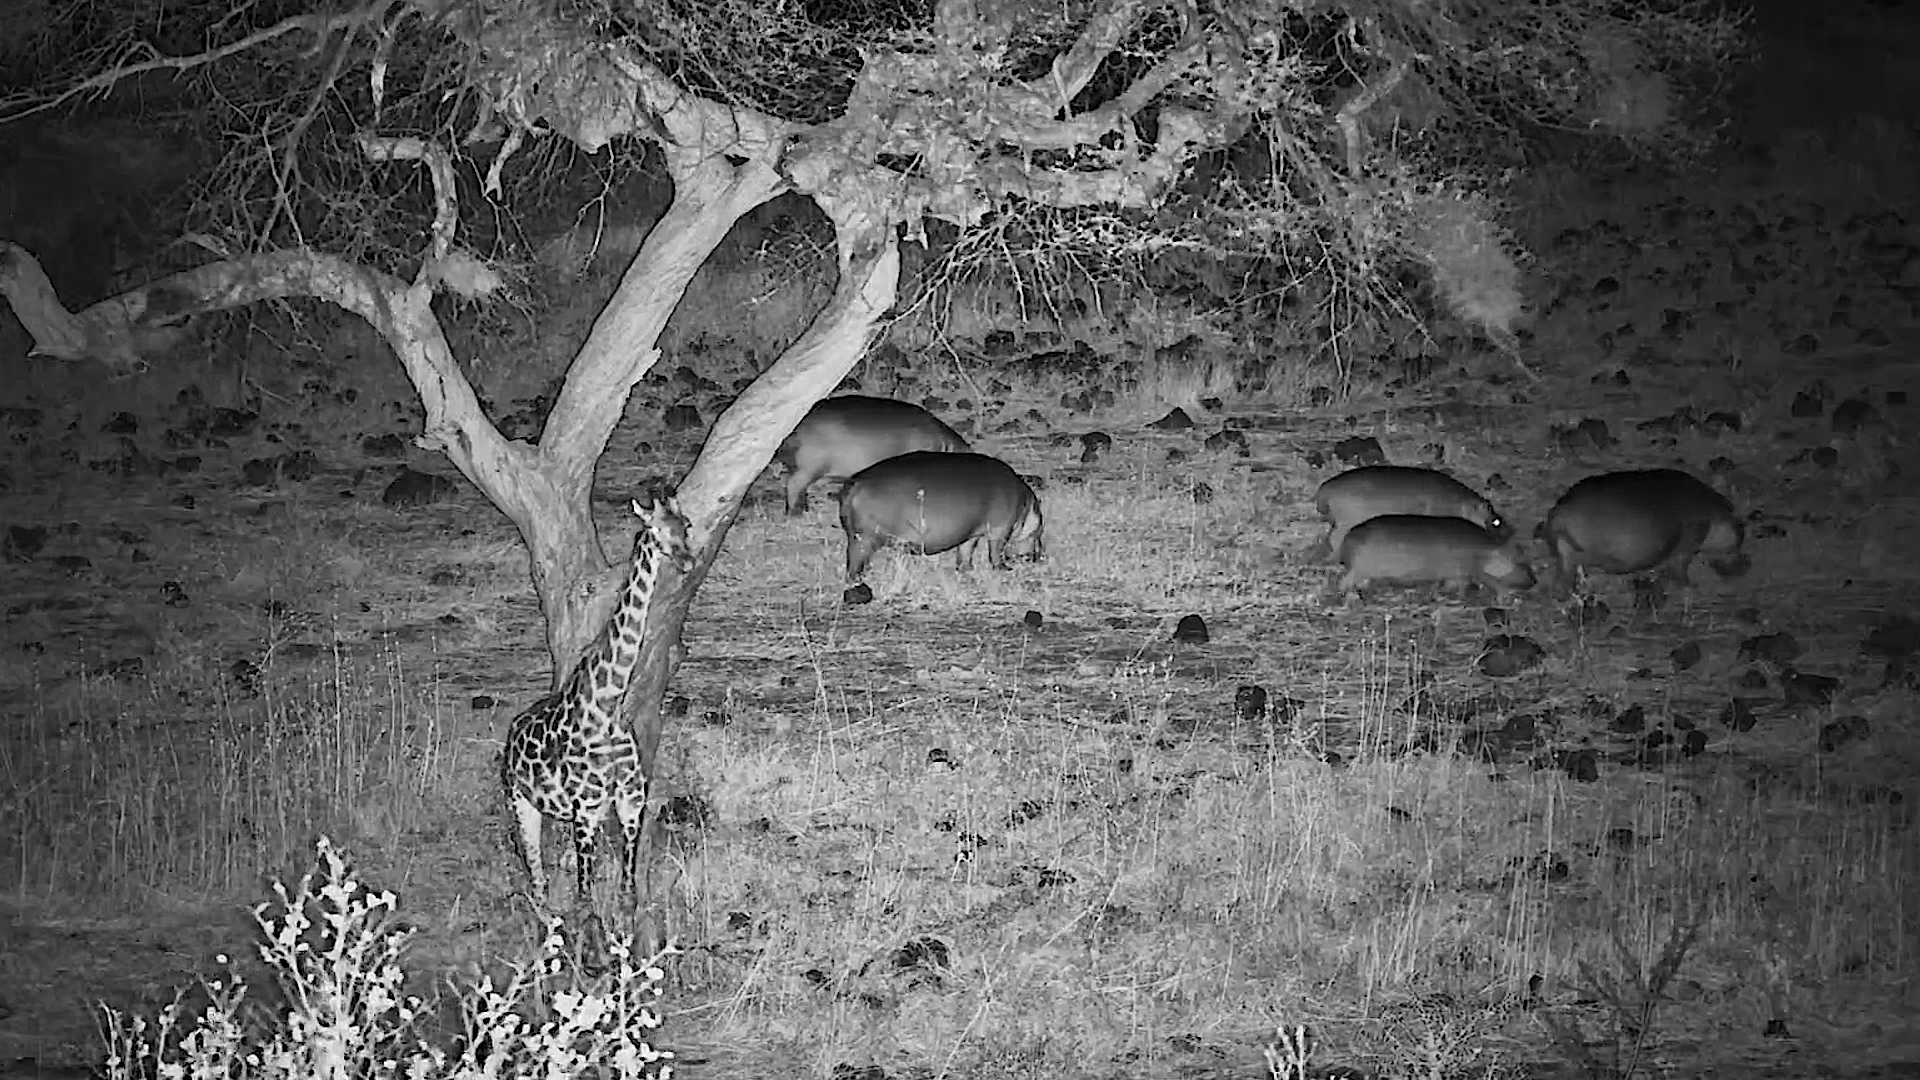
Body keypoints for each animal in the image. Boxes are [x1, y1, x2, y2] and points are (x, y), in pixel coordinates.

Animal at [502, 492, 695, 908]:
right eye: (655, 529)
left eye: (686, 525)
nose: (687, 561)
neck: (606, 706)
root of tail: (512, 733)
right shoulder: (585, 809)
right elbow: (585, 896)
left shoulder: (631, 801)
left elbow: (628, 890)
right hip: (520, 801)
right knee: (537, 880)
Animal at [837, 451, 1043, 583]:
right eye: (1040, 531)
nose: (1039, 557)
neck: (1026, 505)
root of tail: (855, 483)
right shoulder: (1001, 529)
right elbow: (995, 552)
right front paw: (1004, 568)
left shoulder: (971, 533)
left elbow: (965, 552)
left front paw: (967, 570)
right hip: (865, 538)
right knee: (855, 561)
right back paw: (858, 580)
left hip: (857, 536)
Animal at [1310, 466, 1506, 561]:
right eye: (1494, 521)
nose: (1497, 542)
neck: (1465, 505)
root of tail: (1324, 489)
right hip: (1347, 521)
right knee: (1335, 538)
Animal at [1328, 514, 1535, 603]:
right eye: (1520, 561)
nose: (1534, 581)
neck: (1491, 551)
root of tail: (1347, 539)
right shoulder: (1474, 569)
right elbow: (1493, 582)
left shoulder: (1458, 573)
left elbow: (1457, 585)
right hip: (1359, 570)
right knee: (1344, 583)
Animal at [1537, 468, 1748, 588]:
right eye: (1741, 530)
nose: (1747, 564)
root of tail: (1559, 513)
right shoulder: (1688, 544)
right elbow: (1680, 568)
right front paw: (1691, 586)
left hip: (1564, 552)